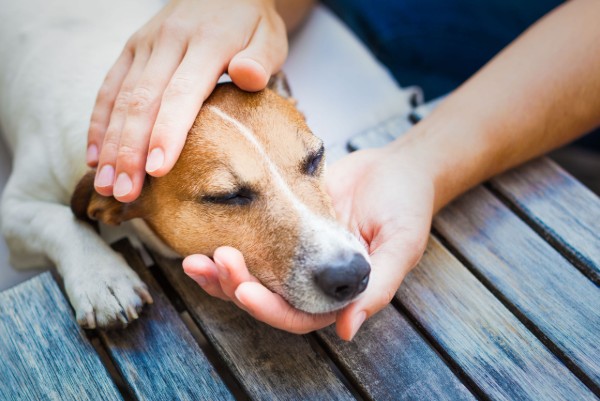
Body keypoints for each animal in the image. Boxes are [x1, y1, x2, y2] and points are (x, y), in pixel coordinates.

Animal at [0, 0, 368, 328]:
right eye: (227, 197)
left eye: (316, 158)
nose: (351, 273)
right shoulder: (14, 210)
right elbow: (59, 220)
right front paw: (102, 277)